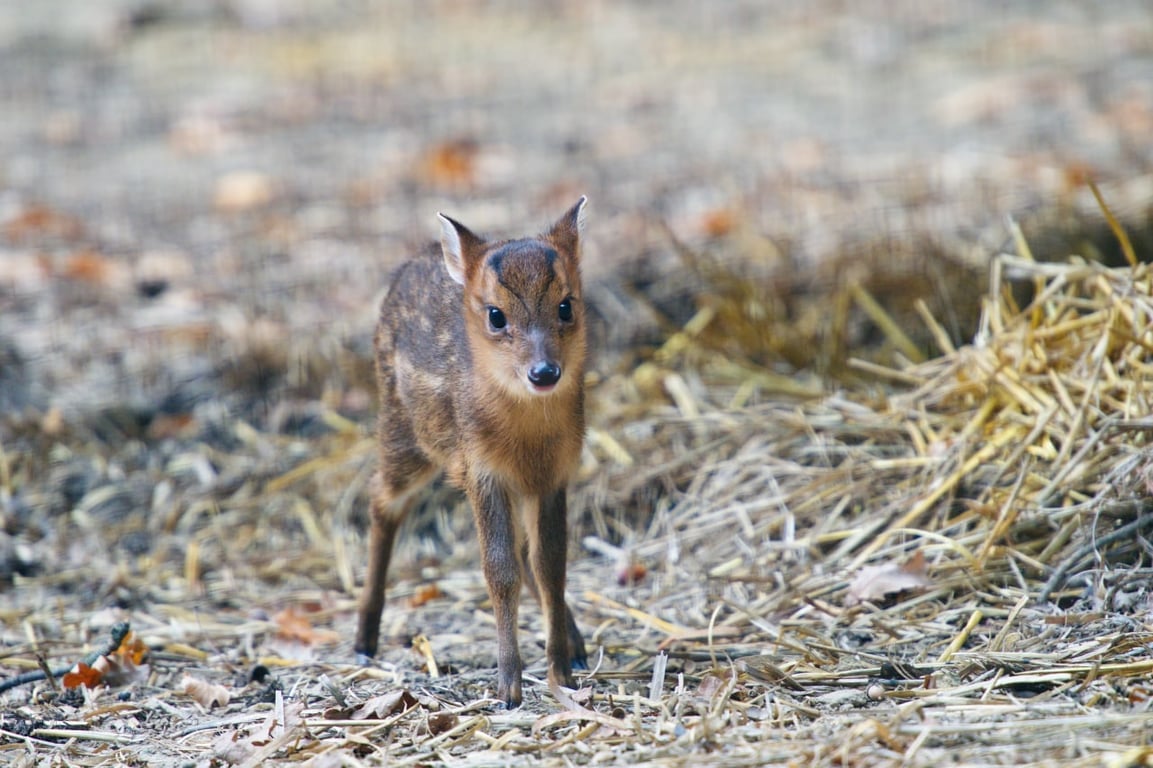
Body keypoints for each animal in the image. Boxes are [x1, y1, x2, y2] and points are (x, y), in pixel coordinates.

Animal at [355, 197, 590, 705]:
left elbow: (550, 565)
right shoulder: (482, 469)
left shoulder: (553, 475)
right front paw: (508, 688)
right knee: (381, 500)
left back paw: (578, 646)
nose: (544, 372)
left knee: (526, 554)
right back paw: (363, 639)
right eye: (496, 315)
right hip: (403, 433)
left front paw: (562, 673)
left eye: (566, 306)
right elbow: (498, 571)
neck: (527, 438)